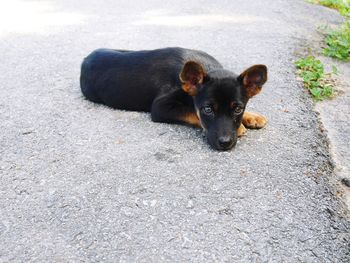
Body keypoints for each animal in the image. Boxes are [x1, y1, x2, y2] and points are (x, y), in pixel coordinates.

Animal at [80, 47, 268, 151]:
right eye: (207, 109)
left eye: (238, 109)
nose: (225, 143)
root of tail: (86, 58)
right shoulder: (160, 107)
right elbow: (193, 113)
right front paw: (241, 127)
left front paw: (251, 116)